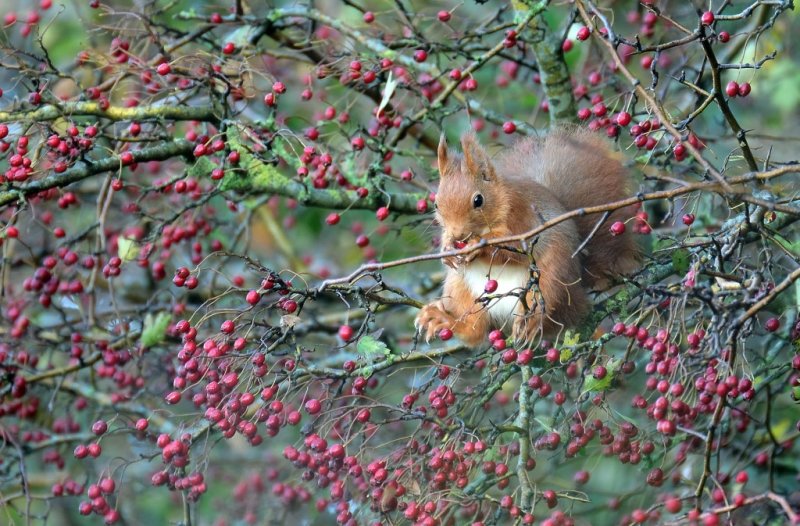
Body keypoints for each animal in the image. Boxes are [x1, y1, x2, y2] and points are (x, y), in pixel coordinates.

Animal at [416, 128, 640, 348]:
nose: (458, 235)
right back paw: (442, 319)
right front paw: (446, 249)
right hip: (460, 287)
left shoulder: (523, 218)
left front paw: (476, 245)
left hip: (550, 280)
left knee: (546, 310)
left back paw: (530, 324)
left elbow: (514, 247)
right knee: (474, 329)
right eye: (436, 204)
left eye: (478, 200)